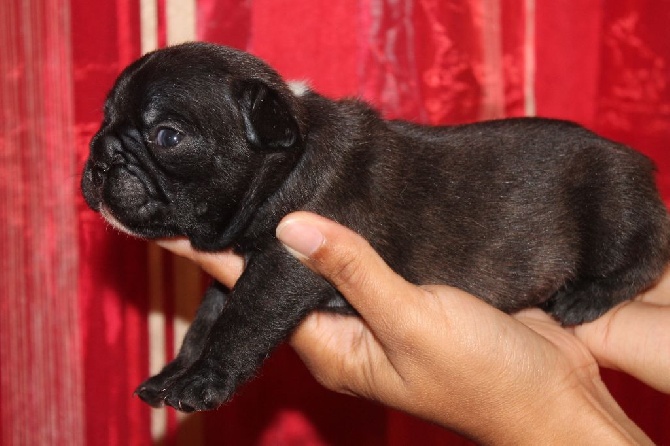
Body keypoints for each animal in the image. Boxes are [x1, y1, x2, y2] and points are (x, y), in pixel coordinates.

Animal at [81, 41, 668, 412]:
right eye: (103, 118)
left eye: (167, 137)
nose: (102, 154)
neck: (288, 164)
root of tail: (644, 172)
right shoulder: (240, 274)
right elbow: (204, 324)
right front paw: (172, 374)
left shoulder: (285, 264)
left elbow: (239, 325)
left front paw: (203, 384)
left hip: (613, 204)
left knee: (644, 258)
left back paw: (585, 298)